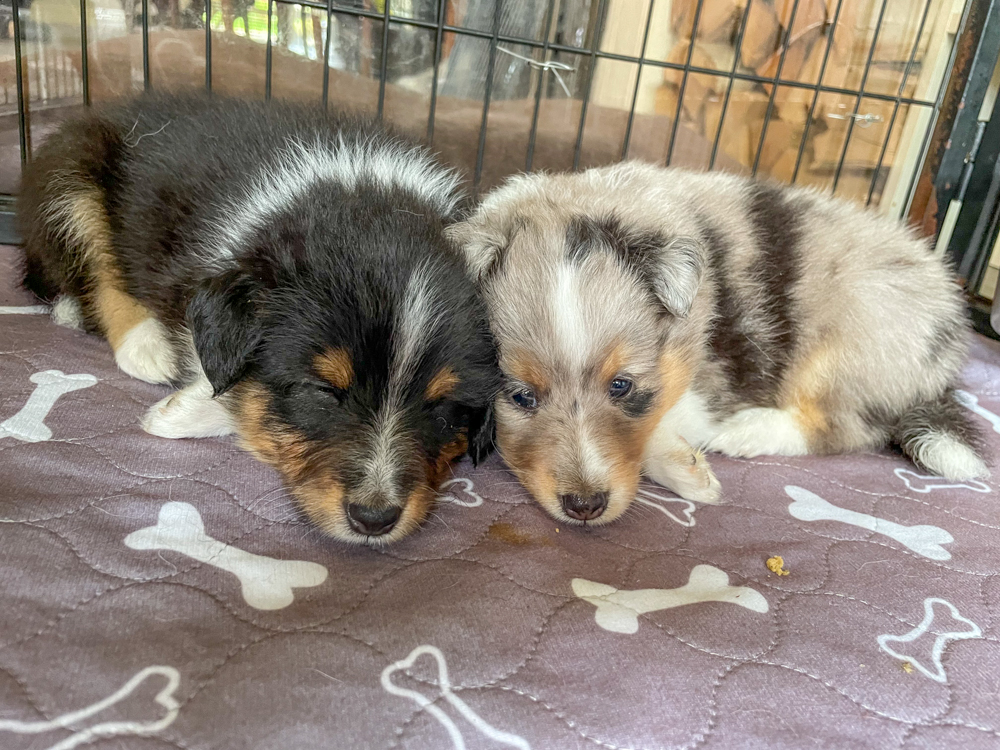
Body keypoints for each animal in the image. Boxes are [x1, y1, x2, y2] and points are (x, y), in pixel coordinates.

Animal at [19, 93, 500, 544]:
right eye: (322, 390)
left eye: (444, 407)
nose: (374, 518)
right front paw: (181, 411)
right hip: (70, 177)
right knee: (93, 268)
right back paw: (144, 344)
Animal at [448, 162, 988, 526]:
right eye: (520, 397)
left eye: (622, 386)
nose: (585, 507)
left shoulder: (709, 377)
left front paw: (687, 466)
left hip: (852, 339)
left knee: (847, 428)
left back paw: (745, 432)